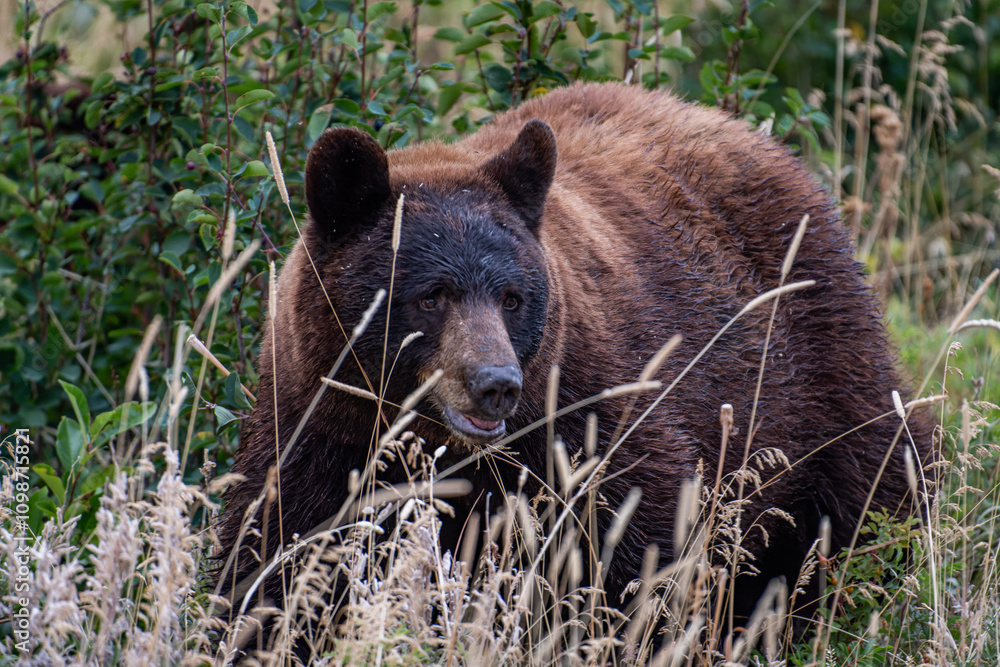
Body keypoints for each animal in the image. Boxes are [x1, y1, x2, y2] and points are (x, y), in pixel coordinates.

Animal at [215, 82, 932, 626]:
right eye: (430, 294)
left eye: (511, 295)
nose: (495, 382)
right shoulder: (317, 430)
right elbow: (279, 557)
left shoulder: (585, 416)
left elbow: (637, 546)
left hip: (819, 355)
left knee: (876, 478)